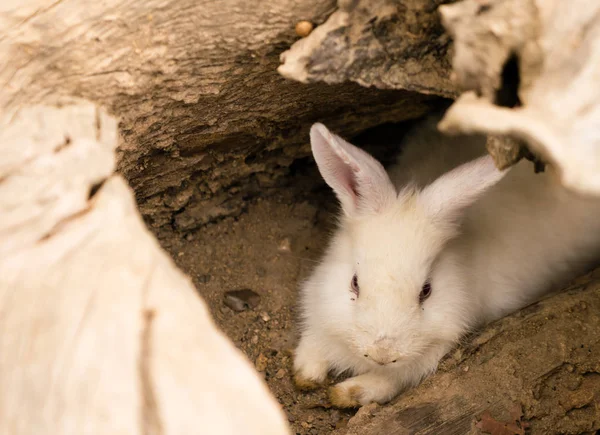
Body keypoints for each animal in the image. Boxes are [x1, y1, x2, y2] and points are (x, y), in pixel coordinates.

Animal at [292, 115, 600, 408]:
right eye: (354, 284)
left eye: (426, 291)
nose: (383, 354)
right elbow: (312, 343)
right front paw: (307, 373)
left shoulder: (437, 344)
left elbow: (390, 380)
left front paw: (349, 392)